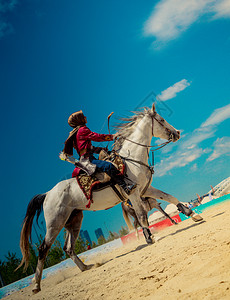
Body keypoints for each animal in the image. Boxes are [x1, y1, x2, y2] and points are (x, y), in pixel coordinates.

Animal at [17, 103, 202, 292]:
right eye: (162, 120)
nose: (177, 133)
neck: (132, 159)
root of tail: (47, 194)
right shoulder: (134, 194)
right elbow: (142, 216)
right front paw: (151, 237)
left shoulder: (147, 189)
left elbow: (170, 197)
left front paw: (193, 214)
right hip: (55, 223)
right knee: (43, 249)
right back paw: (36, 285)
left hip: (73, 220)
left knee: (68, 248)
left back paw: (87, 267)